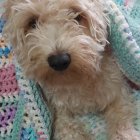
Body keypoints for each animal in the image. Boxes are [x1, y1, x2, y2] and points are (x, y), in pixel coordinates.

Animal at [3, 0, 140, 140]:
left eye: (77, 15)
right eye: (32, 23)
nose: (59, 61)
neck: (78, 79)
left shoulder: (118, 90)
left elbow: (121, 117)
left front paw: (124, 134)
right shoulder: (58, 109)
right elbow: (67, 128)